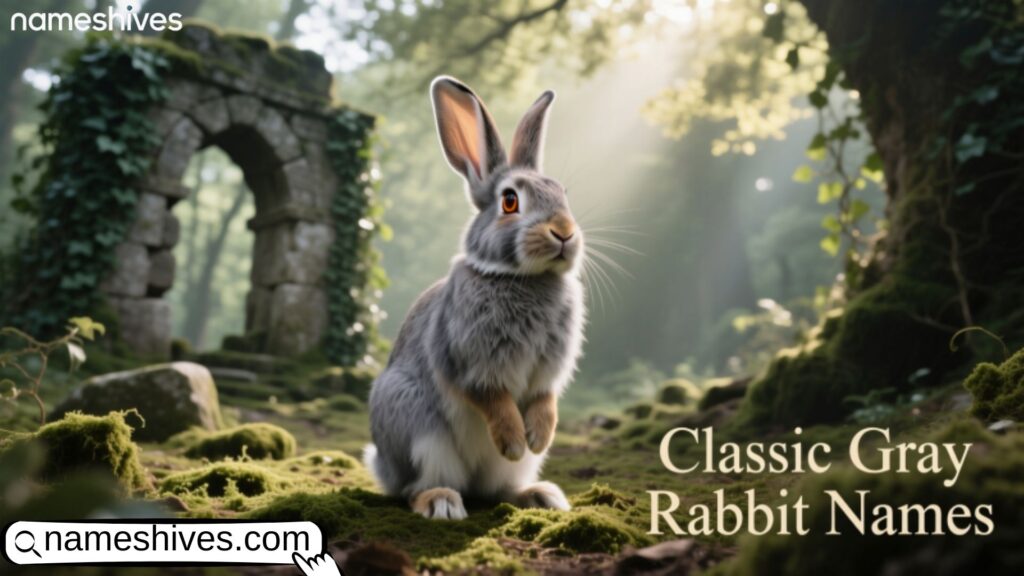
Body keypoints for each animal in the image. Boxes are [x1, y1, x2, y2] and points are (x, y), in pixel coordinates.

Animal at [363, 76, 585, 520]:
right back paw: (442, 502)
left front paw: (538, 437)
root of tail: (382, 467)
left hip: (502, 469)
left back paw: (541, 496)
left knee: (497, 490)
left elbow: (544, 399)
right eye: (510, 200)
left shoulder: (548, 373)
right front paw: (514, 440)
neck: (521, 278)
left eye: (563, 194)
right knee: (413, 488)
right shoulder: (468, 362)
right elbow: (493, 400)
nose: (565, 232)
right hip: (417, 426)